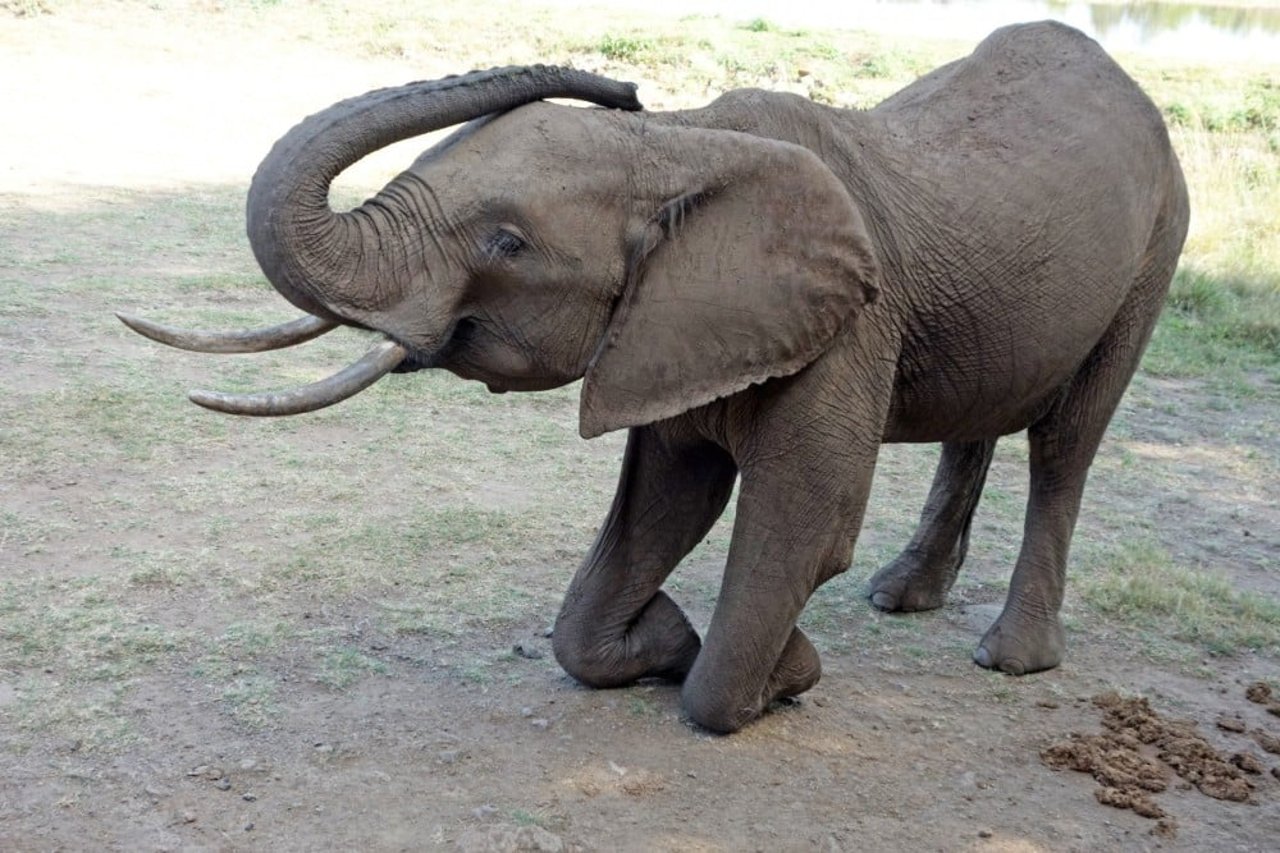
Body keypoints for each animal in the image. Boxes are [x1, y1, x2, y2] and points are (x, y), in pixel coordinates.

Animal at [122, 24, 1187, 732]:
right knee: (982, 420)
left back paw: (1011, 660)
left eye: (506, 243)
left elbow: (802, 521)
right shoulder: (673, 324)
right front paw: (673, 642)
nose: (624, 86)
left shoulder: (847, 325)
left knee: (1066, 442)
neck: (682, 143)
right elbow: (666, 500)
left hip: (1158, 246)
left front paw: (778, 672)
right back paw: (902, 599)